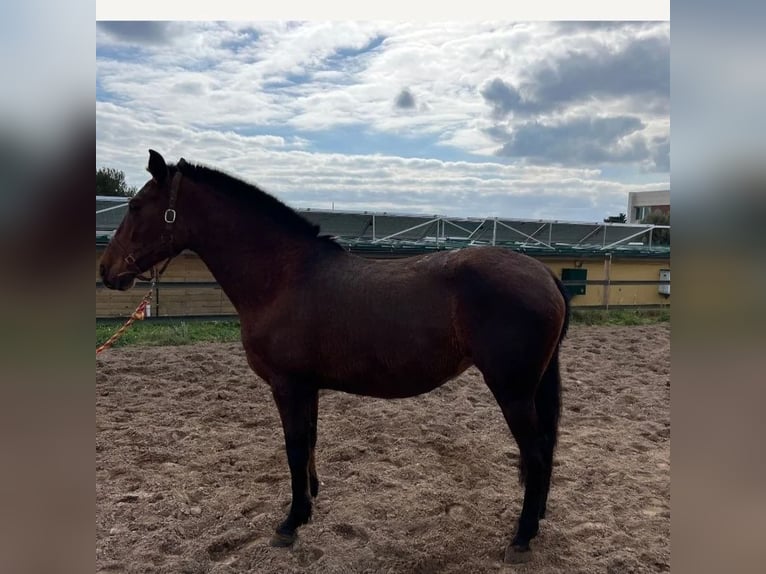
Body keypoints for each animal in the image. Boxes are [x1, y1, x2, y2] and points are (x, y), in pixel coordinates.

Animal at [100, 151, 568, 564]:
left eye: (136, 206)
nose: (107, 271)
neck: (284, 277)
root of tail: (544, 274)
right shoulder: (307, 388)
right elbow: (309, 442)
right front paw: (309, 503)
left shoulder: (287, 386)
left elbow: (293, 447)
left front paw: (290, 523)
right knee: (544, 451)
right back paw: (536, 520)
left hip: (512, 391)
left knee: (536, 453)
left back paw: (521, 538)